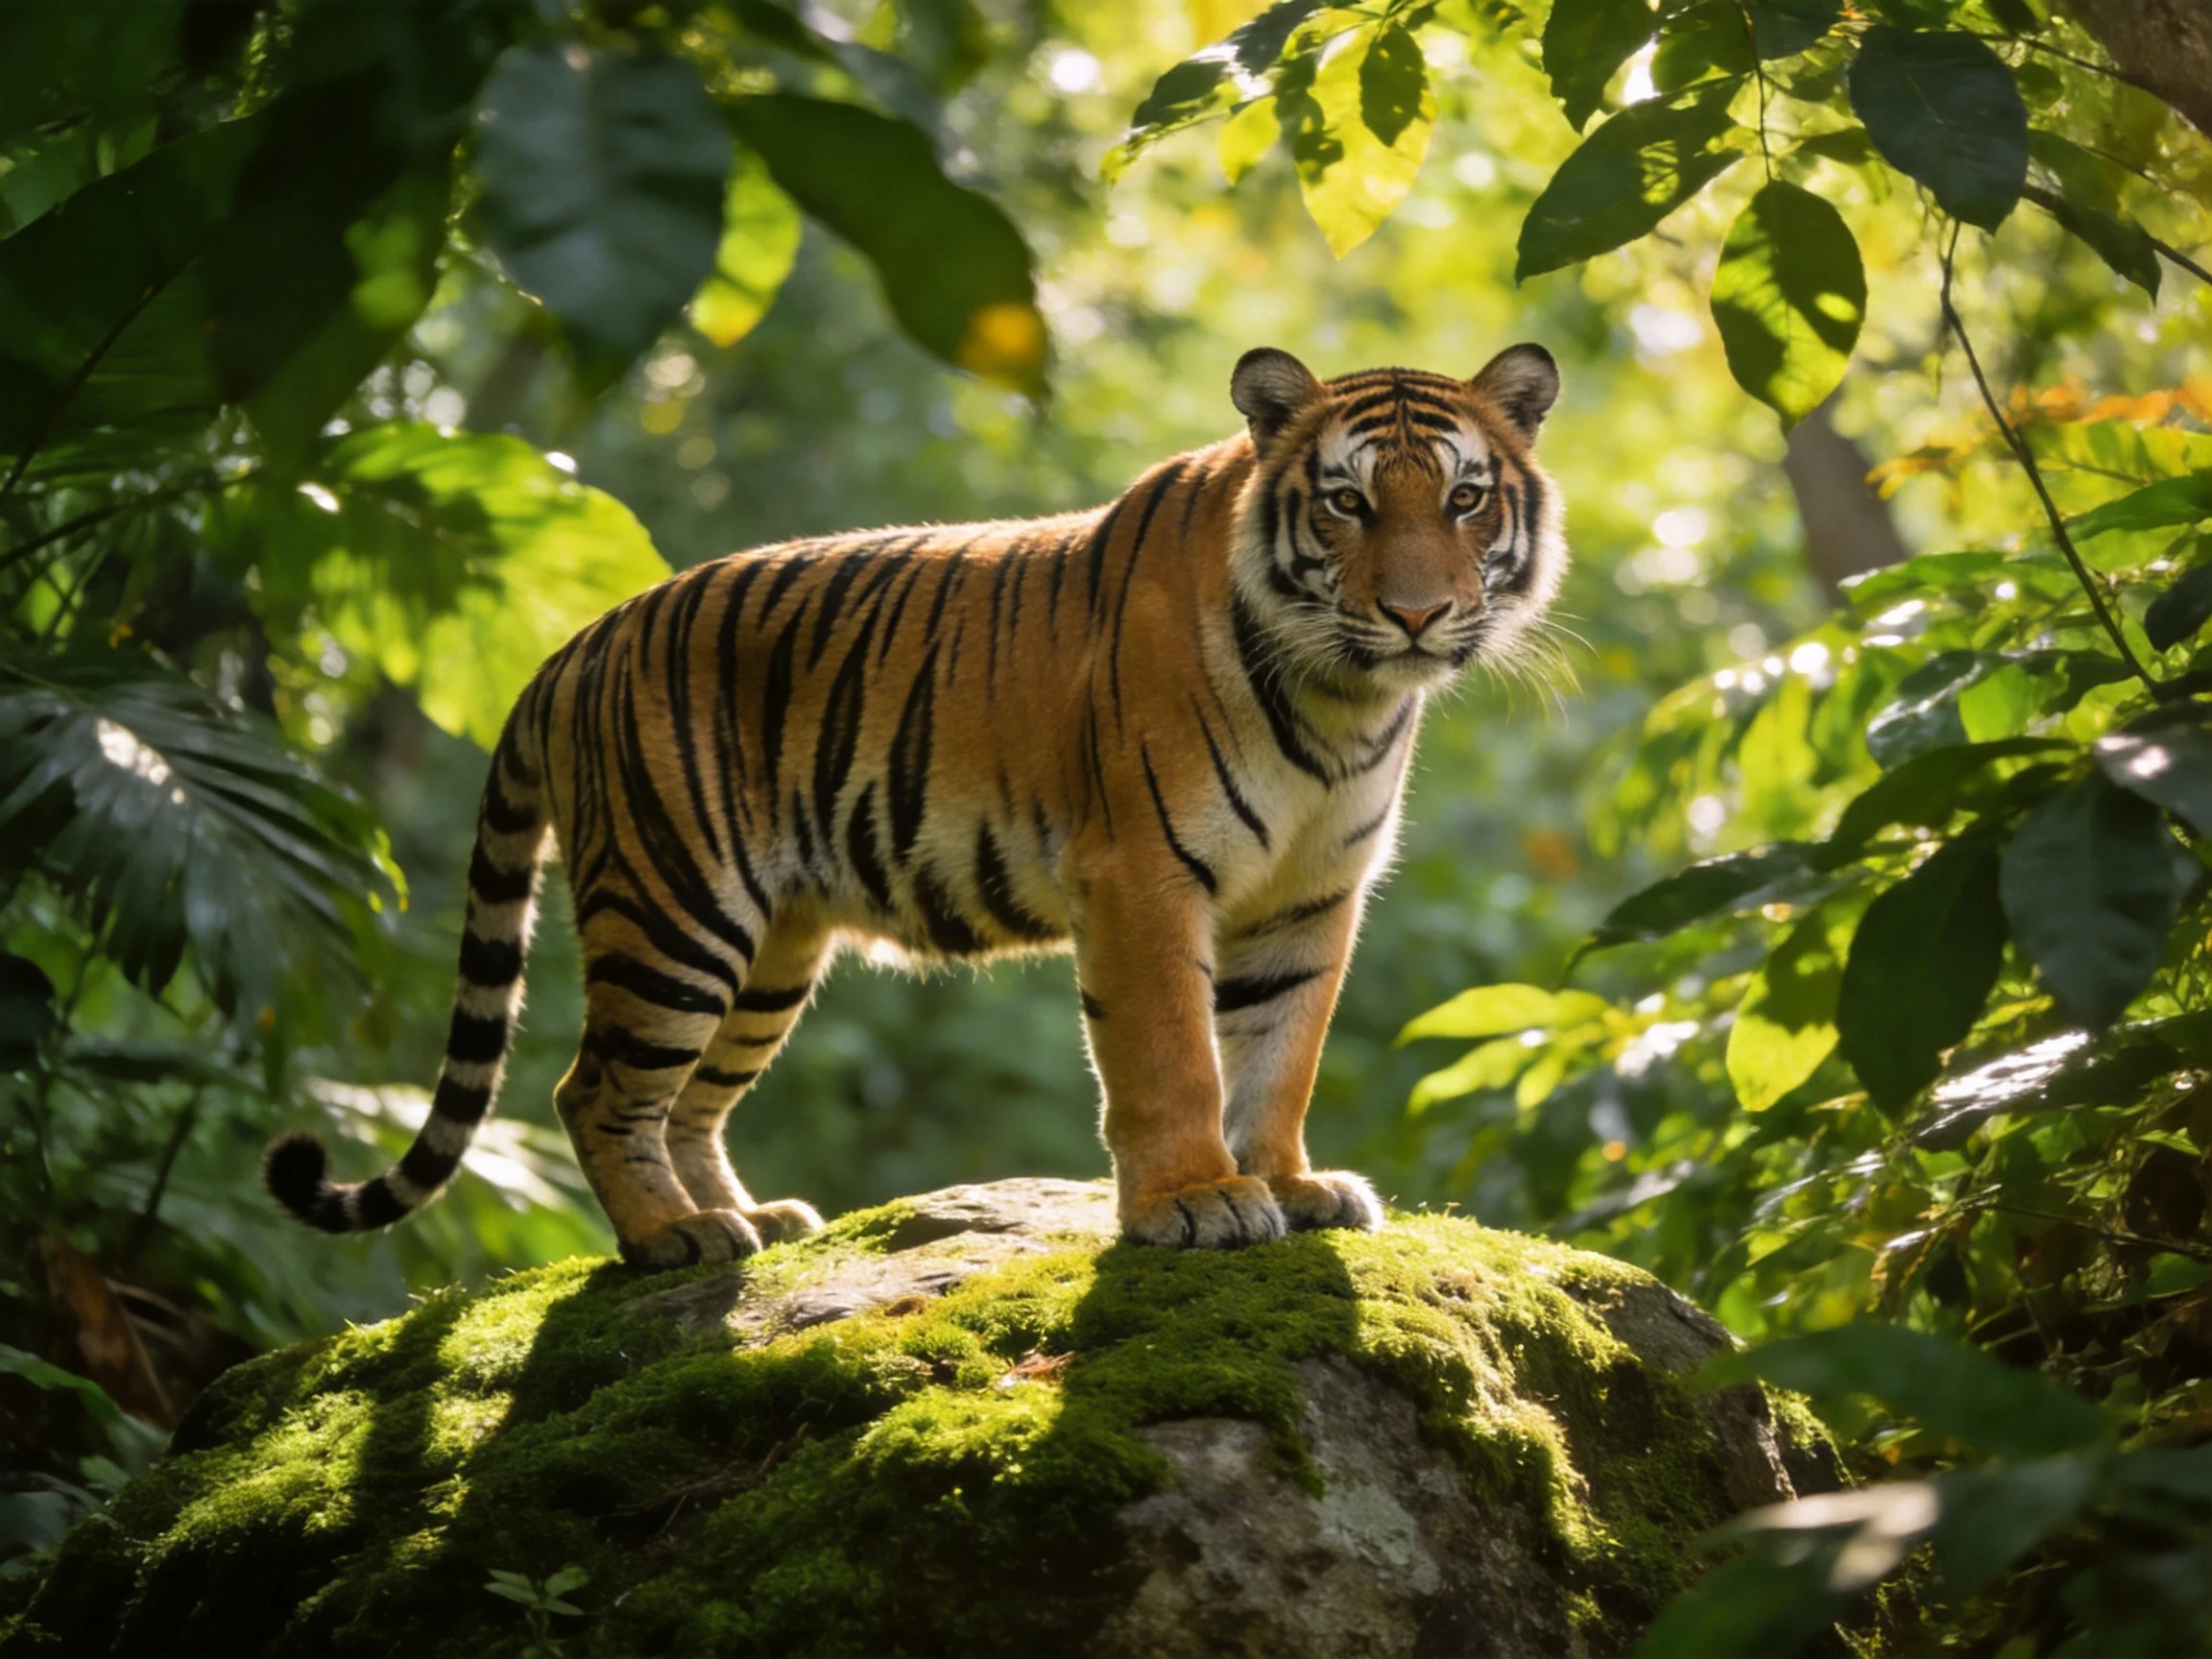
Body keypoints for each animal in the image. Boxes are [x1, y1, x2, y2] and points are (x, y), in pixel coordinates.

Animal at [263, 344, 1565, 1269]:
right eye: (1347, 504)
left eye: (1463, 502)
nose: (1415, 614)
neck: (1346, 701)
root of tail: (568, 648)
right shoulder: (1141, 876)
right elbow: (1175, 1058)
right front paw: (1196, 1203)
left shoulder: (1310, 896)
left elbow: (1281, 1051)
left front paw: (1290, 1185)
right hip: (674, 911)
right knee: (595, 1089)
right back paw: (670, 1238)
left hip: (771, 951)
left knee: (687, 1103)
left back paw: (750, 1222)